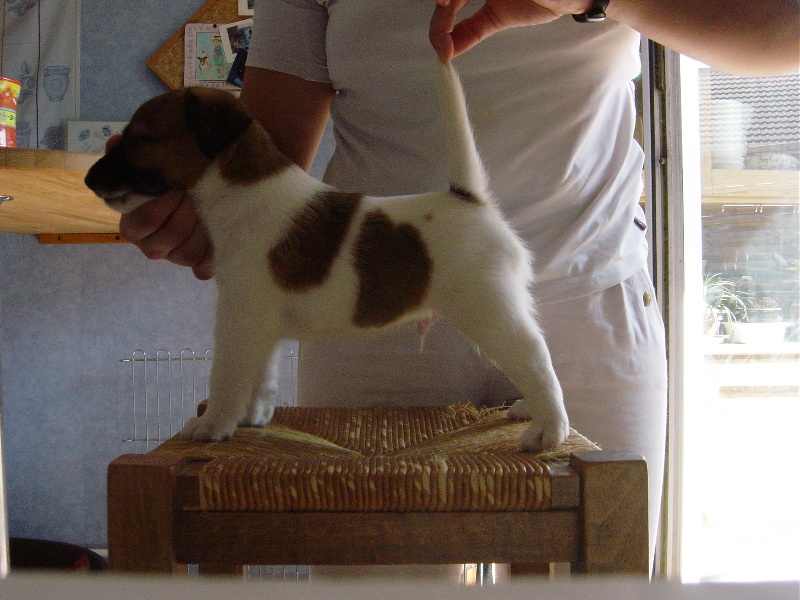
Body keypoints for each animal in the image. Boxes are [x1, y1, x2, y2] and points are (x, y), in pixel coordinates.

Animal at [85, 60, 569, 451]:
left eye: (139, 138)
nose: (89, 179)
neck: (242, 190)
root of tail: (470, 199)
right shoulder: (263, 325)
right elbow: (262, 376)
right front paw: (252, 418)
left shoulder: (239, 318)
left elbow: (225, 376)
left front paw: (212, 425)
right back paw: (530, 410)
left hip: (489, 311)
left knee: (535, 357)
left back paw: (549, 430)